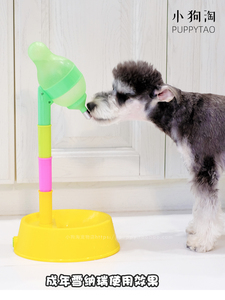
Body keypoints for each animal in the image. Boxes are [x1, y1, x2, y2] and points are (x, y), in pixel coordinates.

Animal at [87, 60, 224, 251]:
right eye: (113, 87)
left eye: (124, 95)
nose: (89, 105)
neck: (186, 113)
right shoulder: (197, 170)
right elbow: (200, 203)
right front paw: (197, 229)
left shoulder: (205, 169)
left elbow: (207, 205)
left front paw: (202, 241)